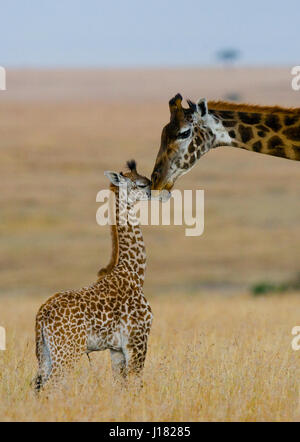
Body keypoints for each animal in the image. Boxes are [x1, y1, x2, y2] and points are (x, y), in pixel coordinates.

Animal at [34, 161, 154, 392]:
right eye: (141, 184)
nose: (153, 192)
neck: (135, 273)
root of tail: (41, 315)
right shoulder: (137, 341)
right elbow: (137, 385)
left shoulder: (116, 350)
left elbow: (121, 388)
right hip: (67, 352)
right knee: (51, 387)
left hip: (44, 353)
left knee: (36, 387)